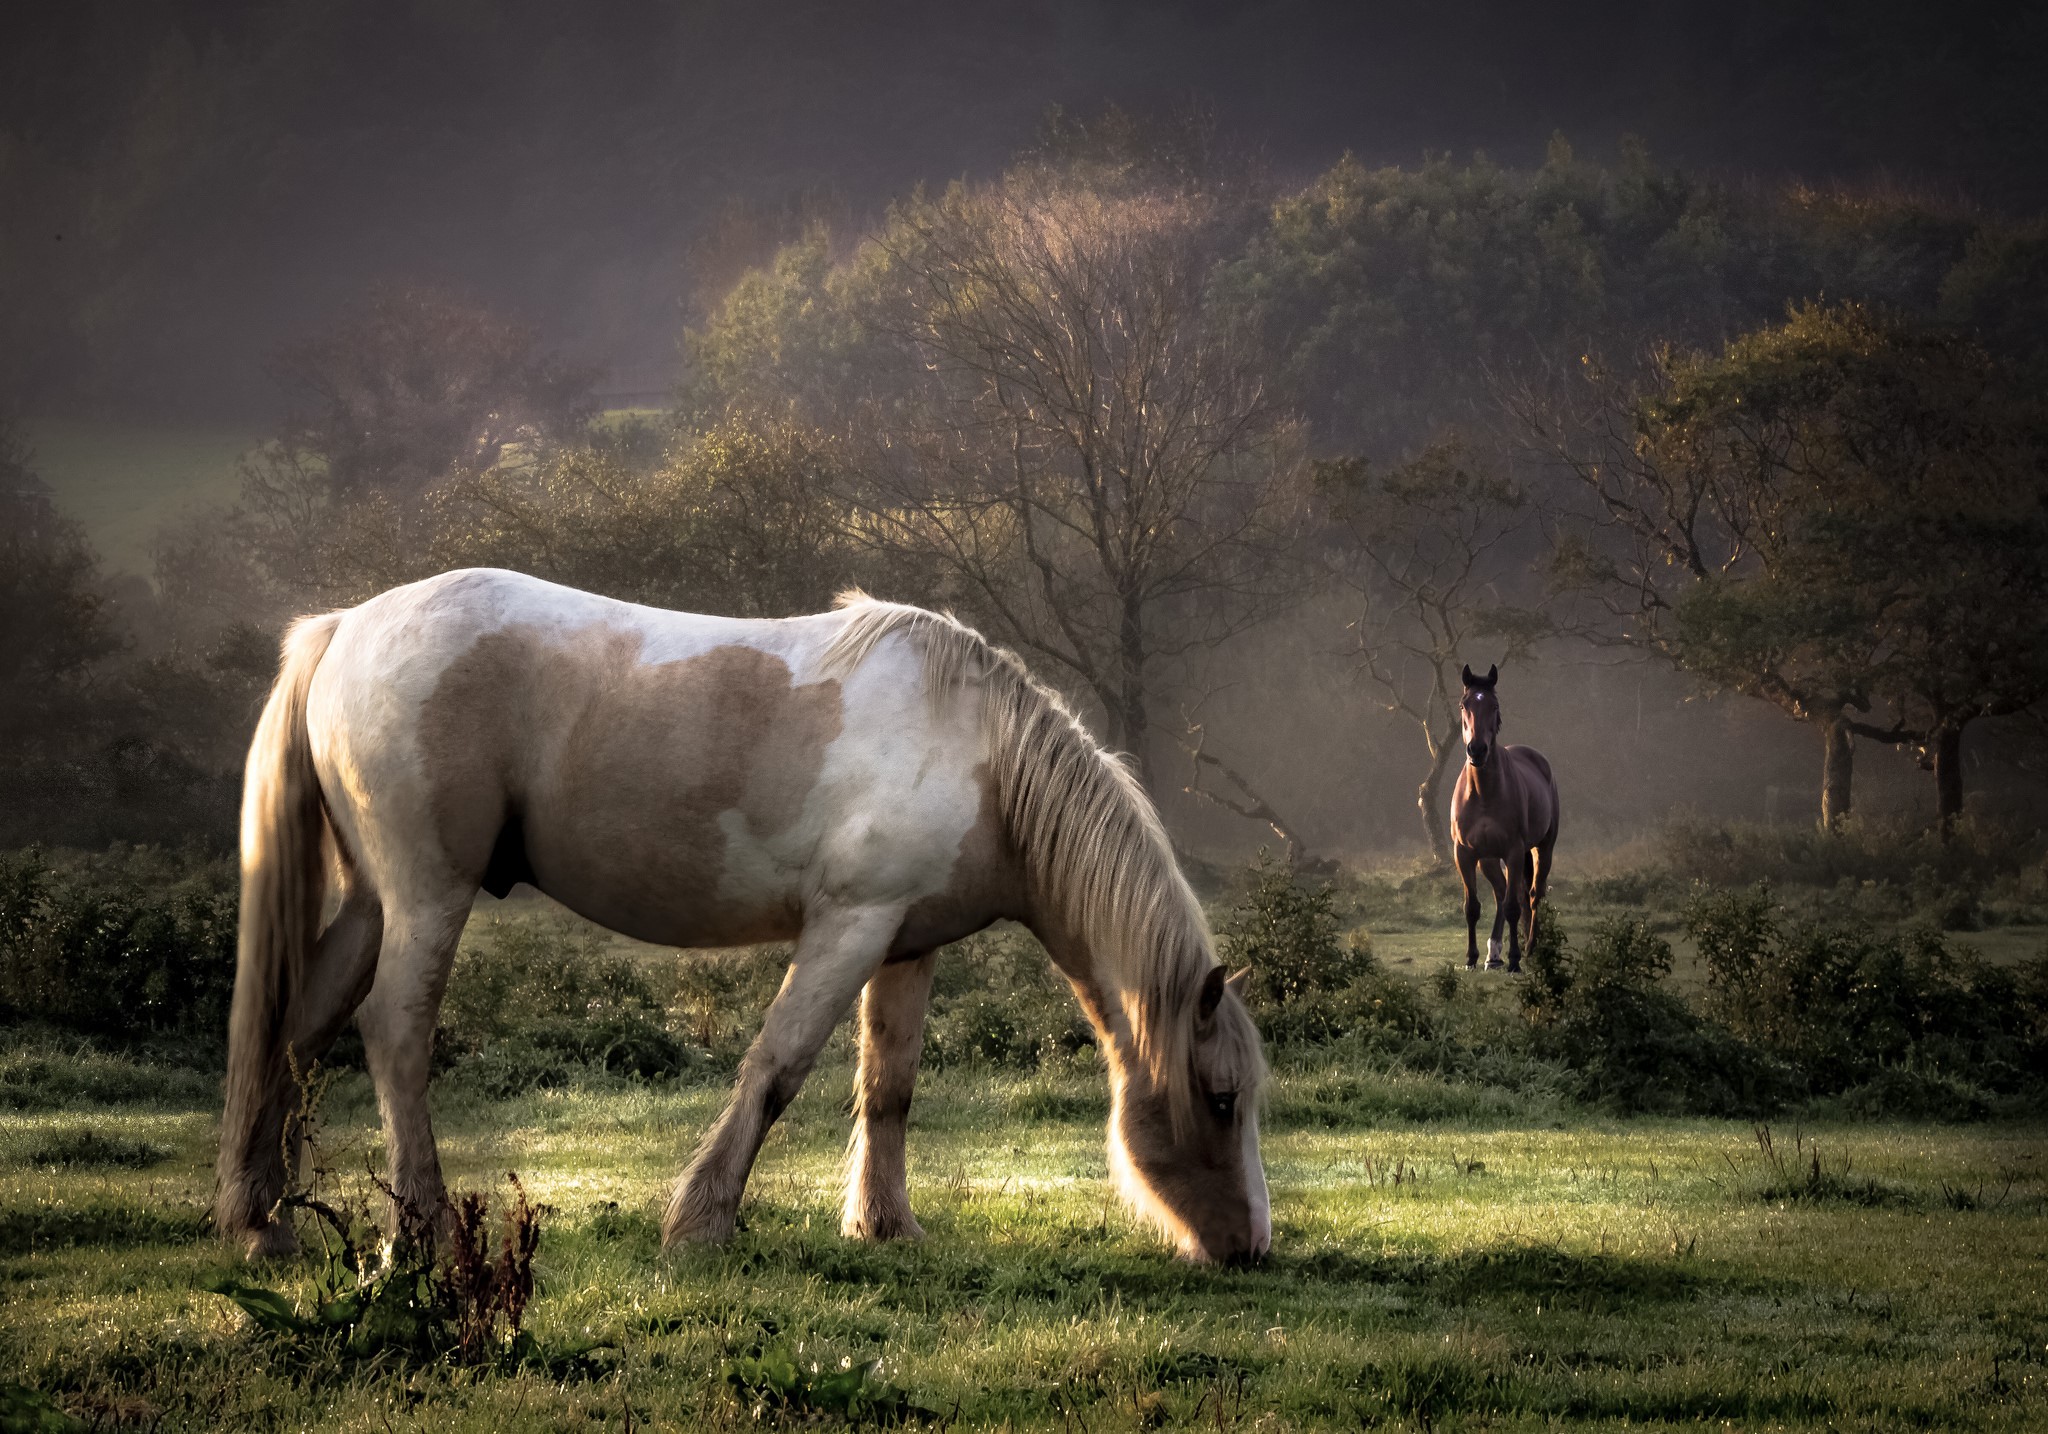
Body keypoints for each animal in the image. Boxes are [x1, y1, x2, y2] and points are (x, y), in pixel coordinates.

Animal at [215, 568, 1269, 1264]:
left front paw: (887, 1227)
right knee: (393, 1036)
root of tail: (345, 627)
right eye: (1220, 1099)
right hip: (428, 894)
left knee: (298, 1030)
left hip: (372, 903)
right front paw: (701, 1224)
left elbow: (888, 1088)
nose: (1251, 1247)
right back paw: (421, 1233)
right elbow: (777, 1069)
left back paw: (261, 1220)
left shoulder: (906, 945)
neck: (979, 756)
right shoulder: (848, 928)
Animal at [1449, 664, 1558, 973]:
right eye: (1464, 705)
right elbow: (1472, 907)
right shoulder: (1465, 854)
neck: (1484, 794)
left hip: (1541, 849)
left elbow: (1513, 907)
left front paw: (1515, 961)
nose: (1477, 750)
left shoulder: (1513, 850)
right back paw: (1493, 954)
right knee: (1500, 893)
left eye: (1494, 705)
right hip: (1488, 859)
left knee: (1532, 895)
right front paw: (1472, 958)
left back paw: (1530, 948)